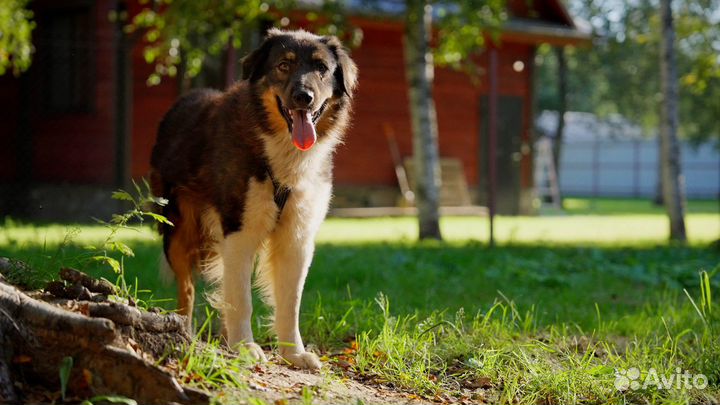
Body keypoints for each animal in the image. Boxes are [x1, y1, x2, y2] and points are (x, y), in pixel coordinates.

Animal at [149, 29, 358, 370]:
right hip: (178, 230)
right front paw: (245, 347)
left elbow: (290, 302)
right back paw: (187, 331)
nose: (304, 97)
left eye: (322, 69)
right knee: (188, 289)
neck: (283, 151)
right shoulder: (239, 230)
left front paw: (293, 353)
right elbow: (241, 299)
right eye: (284, 65)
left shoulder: (297, 238)